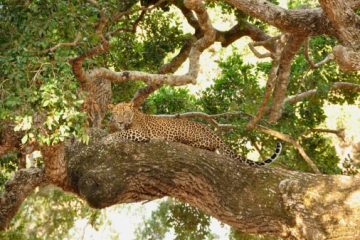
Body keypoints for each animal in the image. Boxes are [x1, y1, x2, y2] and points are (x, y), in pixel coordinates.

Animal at [108, 101, 282, 167]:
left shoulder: (141, 132)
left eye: (125, 113)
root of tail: (212, 132)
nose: (120, 122)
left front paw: (109, 137)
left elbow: (123, 134)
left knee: (208, 146)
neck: (134, 115)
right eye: (116, 113)